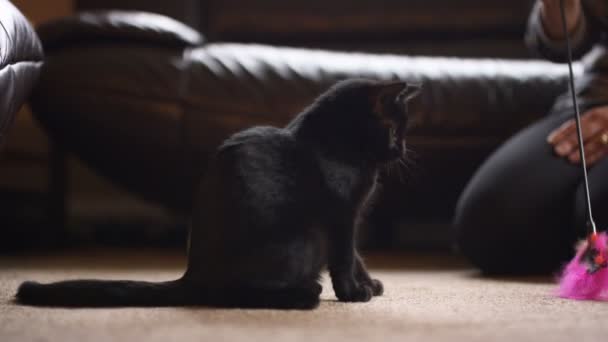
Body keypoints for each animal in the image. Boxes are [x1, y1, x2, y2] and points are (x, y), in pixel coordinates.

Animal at [16, 78, 420, 310]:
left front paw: (370, 284)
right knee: (236, 294)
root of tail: (192, 276)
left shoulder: (350, 219)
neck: (337, 145)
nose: (402, 149)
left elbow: (357, 255)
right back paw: (305, 294)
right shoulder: (340, 217)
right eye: (394, 130)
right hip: (306, 237)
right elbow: (345, 258)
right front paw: (353, 293)